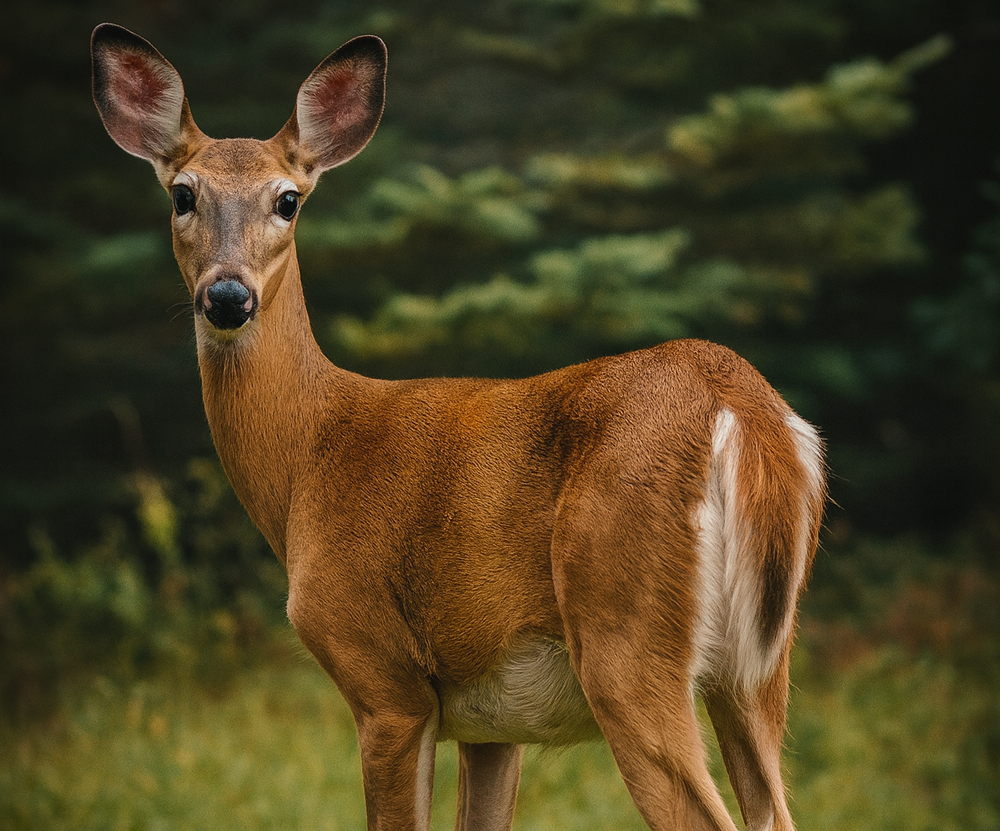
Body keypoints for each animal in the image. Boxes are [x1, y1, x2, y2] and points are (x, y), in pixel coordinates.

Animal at [91, 22, 825, 831]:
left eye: (287, 200)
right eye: (183, 194)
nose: (227, 295)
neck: (309, 459)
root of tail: (743, 406)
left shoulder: (384, 677)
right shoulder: (492, 725)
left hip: (627, 634)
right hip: (757, 669)